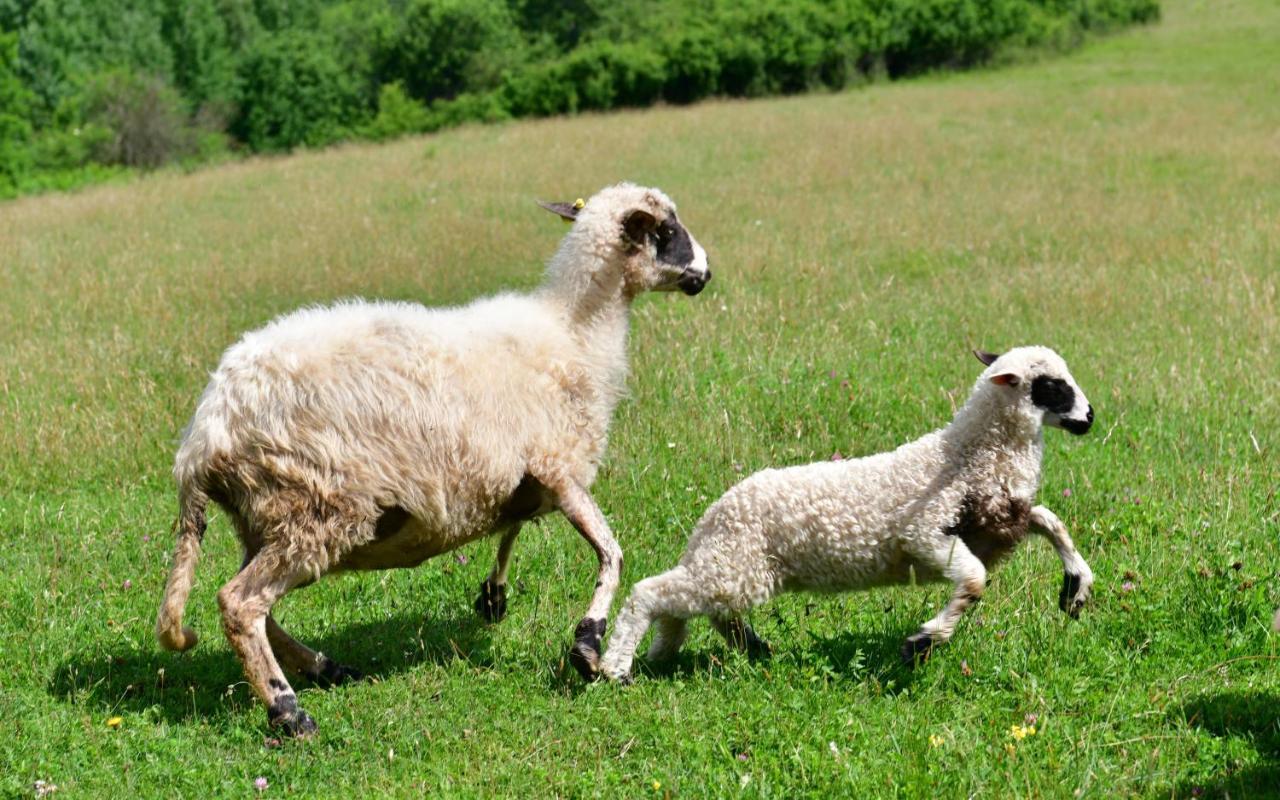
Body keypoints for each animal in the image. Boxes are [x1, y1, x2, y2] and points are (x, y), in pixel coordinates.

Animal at [156, 184, 716, 732]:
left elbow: (512, 527)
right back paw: (289, 711)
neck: (574, 334)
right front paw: (588, 646)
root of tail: (204, 433)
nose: (705, 272)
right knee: (240, 603)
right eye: (666, 231)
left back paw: (326, 668)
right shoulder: (559, 469)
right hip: (313, 508)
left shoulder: (519, 472)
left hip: (264, 517)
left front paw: (493, 596)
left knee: (257, 607)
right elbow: (611, 553)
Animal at [599, 345, 1090, 680]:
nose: (1089, 418)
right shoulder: (924, 532)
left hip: (737, 569)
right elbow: (973, 581)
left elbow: (1051, 523)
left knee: (705, 609)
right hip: (733, 567)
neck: (970, 453)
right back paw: (616, 666)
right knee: (652, 592)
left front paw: (1075, 590)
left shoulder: (998, 521)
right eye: (1053, 386)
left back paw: (725, 650)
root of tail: (715, 512)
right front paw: (922, 643)